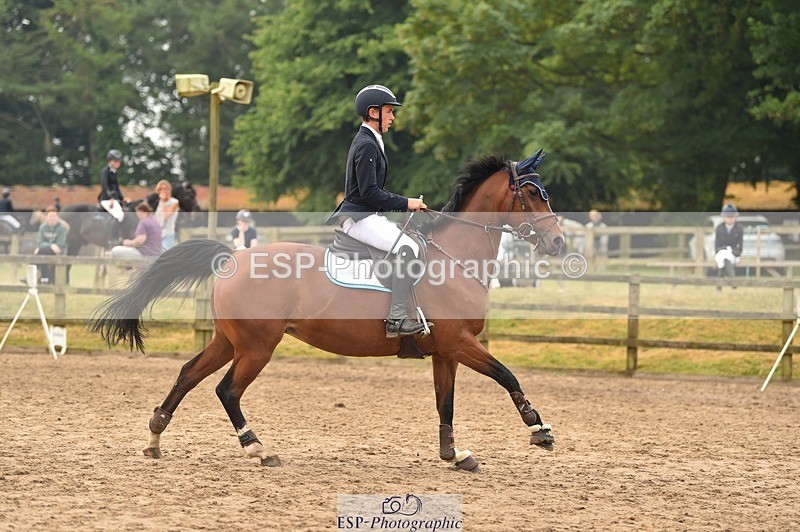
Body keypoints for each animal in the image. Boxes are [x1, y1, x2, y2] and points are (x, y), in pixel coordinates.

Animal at [91, 153, 565, 472]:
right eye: (531, 194)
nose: (559, 242)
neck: (454, 258)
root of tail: (233, 256)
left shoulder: (446, 351)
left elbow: (444, 404)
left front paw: (454, 454)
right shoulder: (461, 343)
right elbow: (507, 375)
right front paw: (538, 429)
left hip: (229, 341)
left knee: (189, 374)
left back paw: (155, 437)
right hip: (257, 347)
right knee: (227, 390)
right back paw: (257, 448)